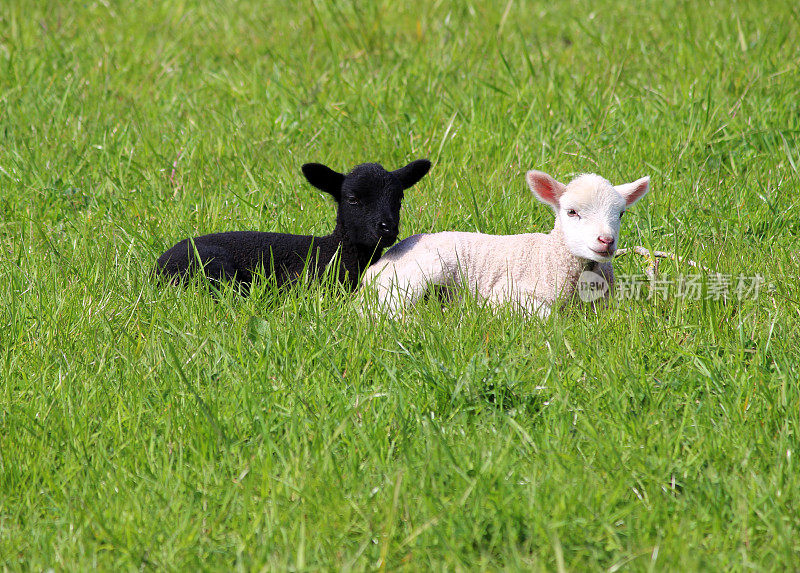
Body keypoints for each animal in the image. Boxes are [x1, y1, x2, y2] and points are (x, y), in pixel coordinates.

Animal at [156, 160, 432, 290]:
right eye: (352, 199)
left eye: (399, 199)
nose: (387, 228)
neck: (335, 250)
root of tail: (157, 267)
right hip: (213, 267)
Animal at [362, 170, 648, 318]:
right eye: (571, 212)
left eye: (621, 214)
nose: (606, 240)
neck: (550, 255)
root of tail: (377, 265)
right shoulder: (506, 293)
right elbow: (549, 316)